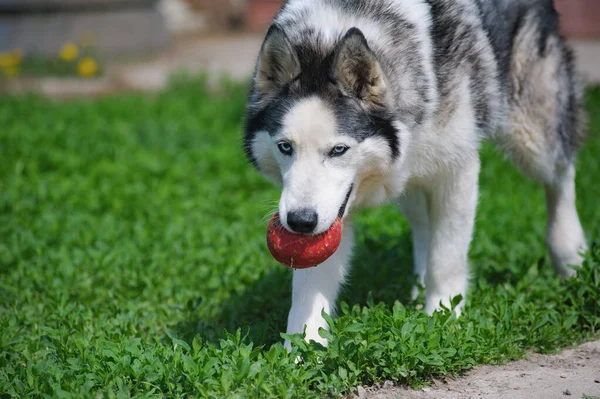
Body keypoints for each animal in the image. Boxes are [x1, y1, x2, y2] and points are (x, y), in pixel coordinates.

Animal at [243, 0, 584, 350]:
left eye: (339, 150)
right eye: (285, 147)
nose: (300, 222)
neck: (329, 38)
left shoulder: (458, 170)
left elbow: (446, 257)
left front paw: (443, 319)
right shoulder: (334, 213)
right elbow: (308, 292)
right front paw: (301, 351)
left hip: (531, 136)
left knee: (562, 175)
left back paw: (571, 254)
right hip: (409, 178)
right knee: (422, 224)